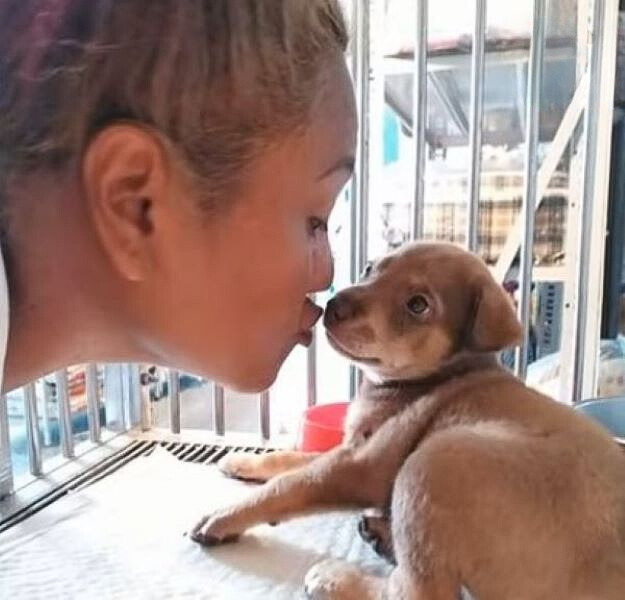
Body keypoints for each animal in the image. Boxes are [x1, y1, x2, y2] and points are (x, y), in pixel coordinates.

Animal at [190, 241, 624, 596]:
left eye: (418, 305)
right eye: (369, 268)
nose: (333, 305)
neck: (425, 378)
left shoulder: (362, 465)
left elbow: (291, 483)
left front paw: (222, 516)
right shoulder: (353, 445)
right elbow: (292, 458)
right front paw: (244, 462)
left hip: (434, 461)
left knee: (419, 592)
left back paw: (337, 579)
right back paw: (380, 534)